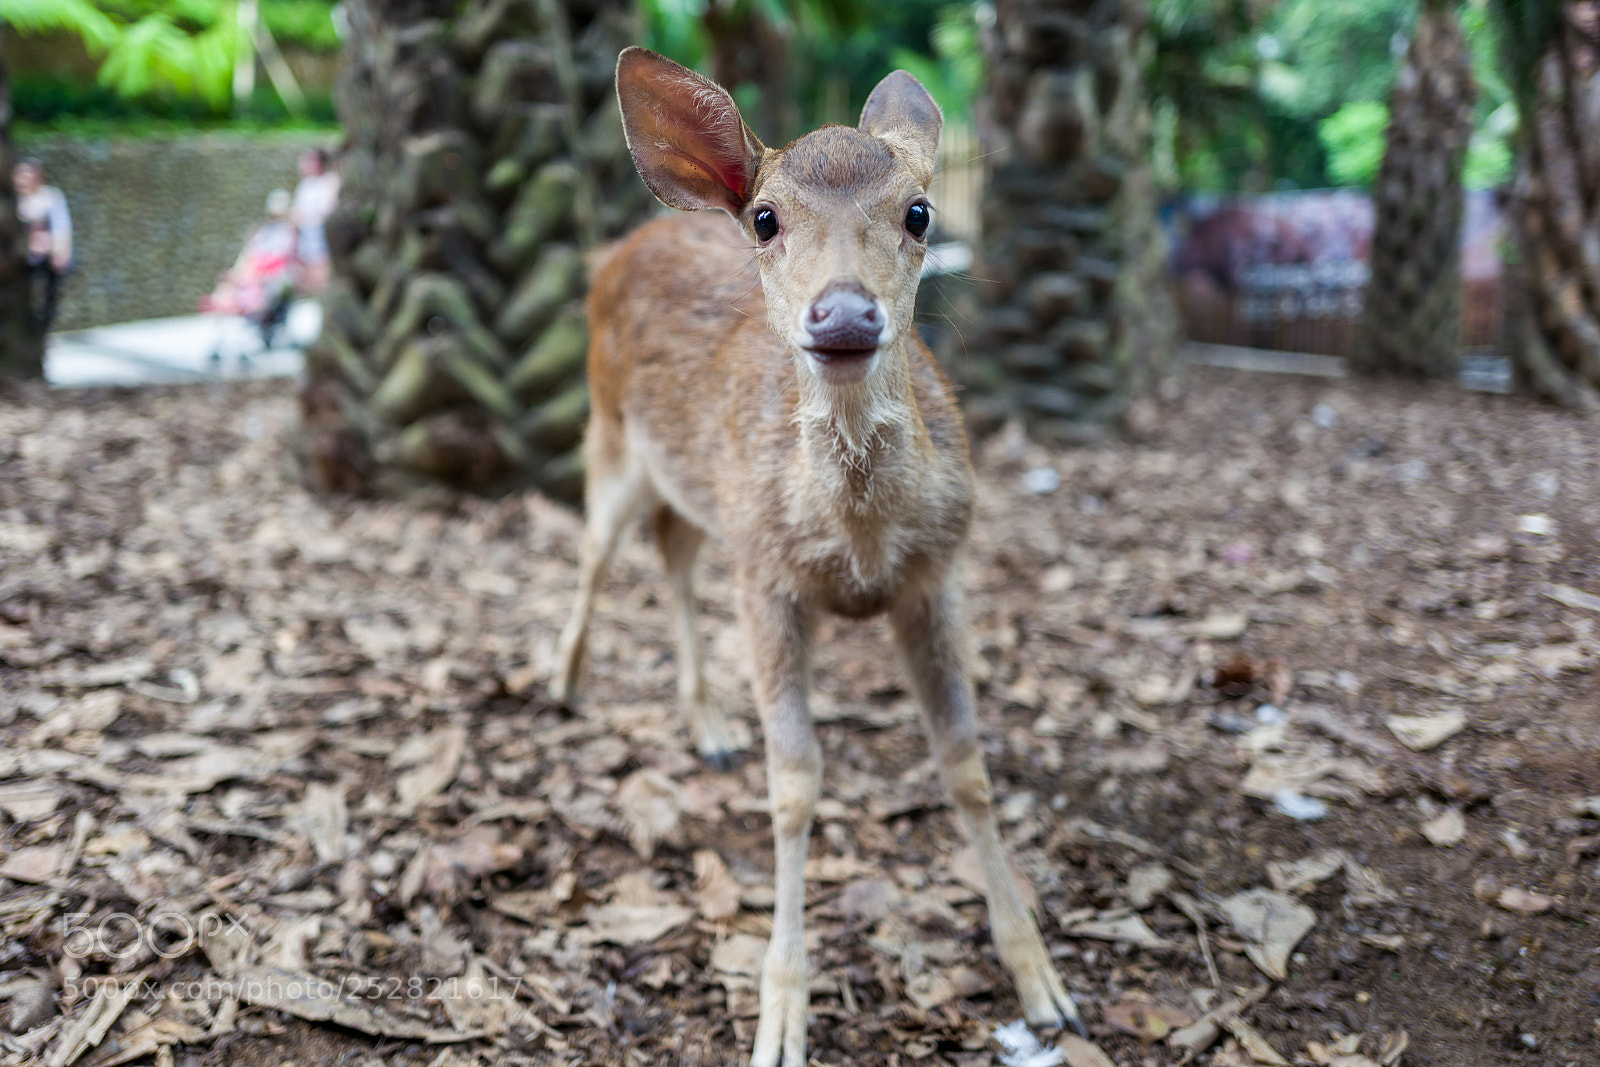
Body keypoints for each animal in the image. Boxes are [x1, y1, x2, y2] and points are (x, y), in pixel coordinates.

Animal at [548, 46, 1085, 1067]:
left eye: (919, 212)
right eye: (766, 216)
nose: (841, 316)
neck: (862, 539)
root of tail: (617, 251)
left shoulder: (939, 571)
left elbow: (966, 765)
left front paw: (1043, 983)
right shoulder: (768, 576)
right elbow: (795, 785)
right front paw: (781, 1016)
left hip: (699, 496)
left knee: (673, 555)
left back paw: (709, 722)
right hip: (608, 435)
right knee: (597, 554)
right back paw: (560, 681)